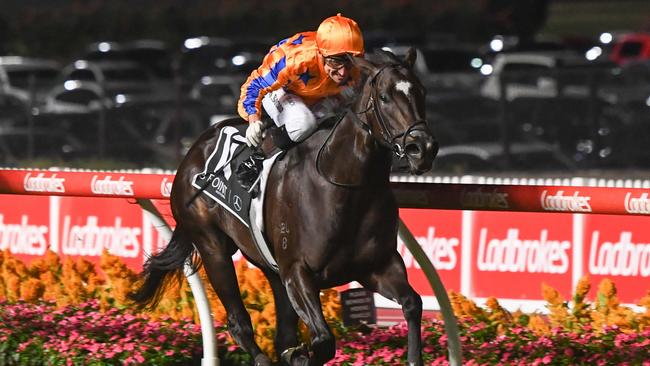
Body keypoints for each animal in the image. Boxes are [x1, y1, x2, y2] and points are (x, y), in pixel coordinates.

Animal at [129, 49, 436, 366]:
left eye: (422, 92)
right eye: (385, 97)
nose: (422, 148)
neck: (346, 186)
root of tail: (193, 151)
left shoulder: (377, 266)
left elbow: (413, 303)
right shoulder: (297, 272)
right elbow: (323, 341)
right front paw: (301, 354)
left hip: (271, 268)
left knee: (281, 333)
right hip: (212, 245)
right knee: (239, 323)